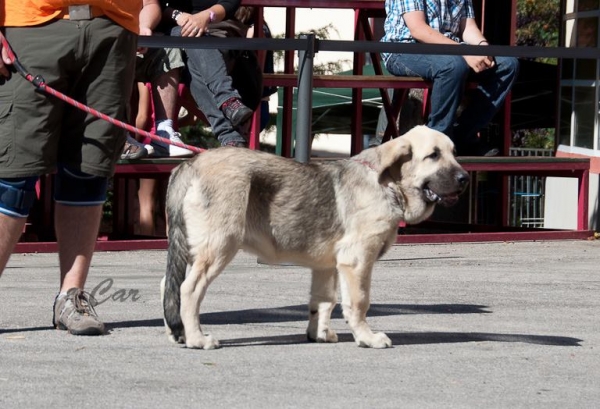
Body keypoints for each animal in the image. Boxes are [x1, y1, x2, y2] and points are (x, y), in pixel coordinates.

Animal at [162, 124, 472, 348]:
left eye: (454, 152)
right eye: (433, 155)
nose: (465, 179)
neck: (388, 183)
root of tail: (191, 165)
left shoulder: (327, 265)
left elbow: (323, 301)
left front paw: (320, 334)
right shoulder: (357, 260)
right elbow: (358, 302)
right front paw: (367, 338)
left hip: (192, 245)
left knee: (170, 284)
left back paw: (178, 333)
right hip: (219, 245)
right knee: (188, 289)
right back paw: (197, 339)